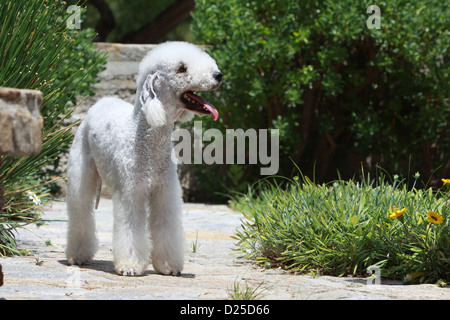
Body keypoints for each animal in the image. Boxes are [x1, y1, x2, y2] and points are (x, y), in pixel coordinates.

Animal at [64, 41, 222, 276]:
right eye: (181, 68)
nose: (218, 75)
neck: (146, 138)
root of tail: (101, 102)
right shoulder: (131, 192)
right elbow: (131, 228)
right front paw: (130, 266)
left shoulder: (165, 192)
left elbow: (166, 226)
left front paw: (169, 266)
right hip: (80, 169)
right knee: (80, 211)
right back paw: (77, 256)